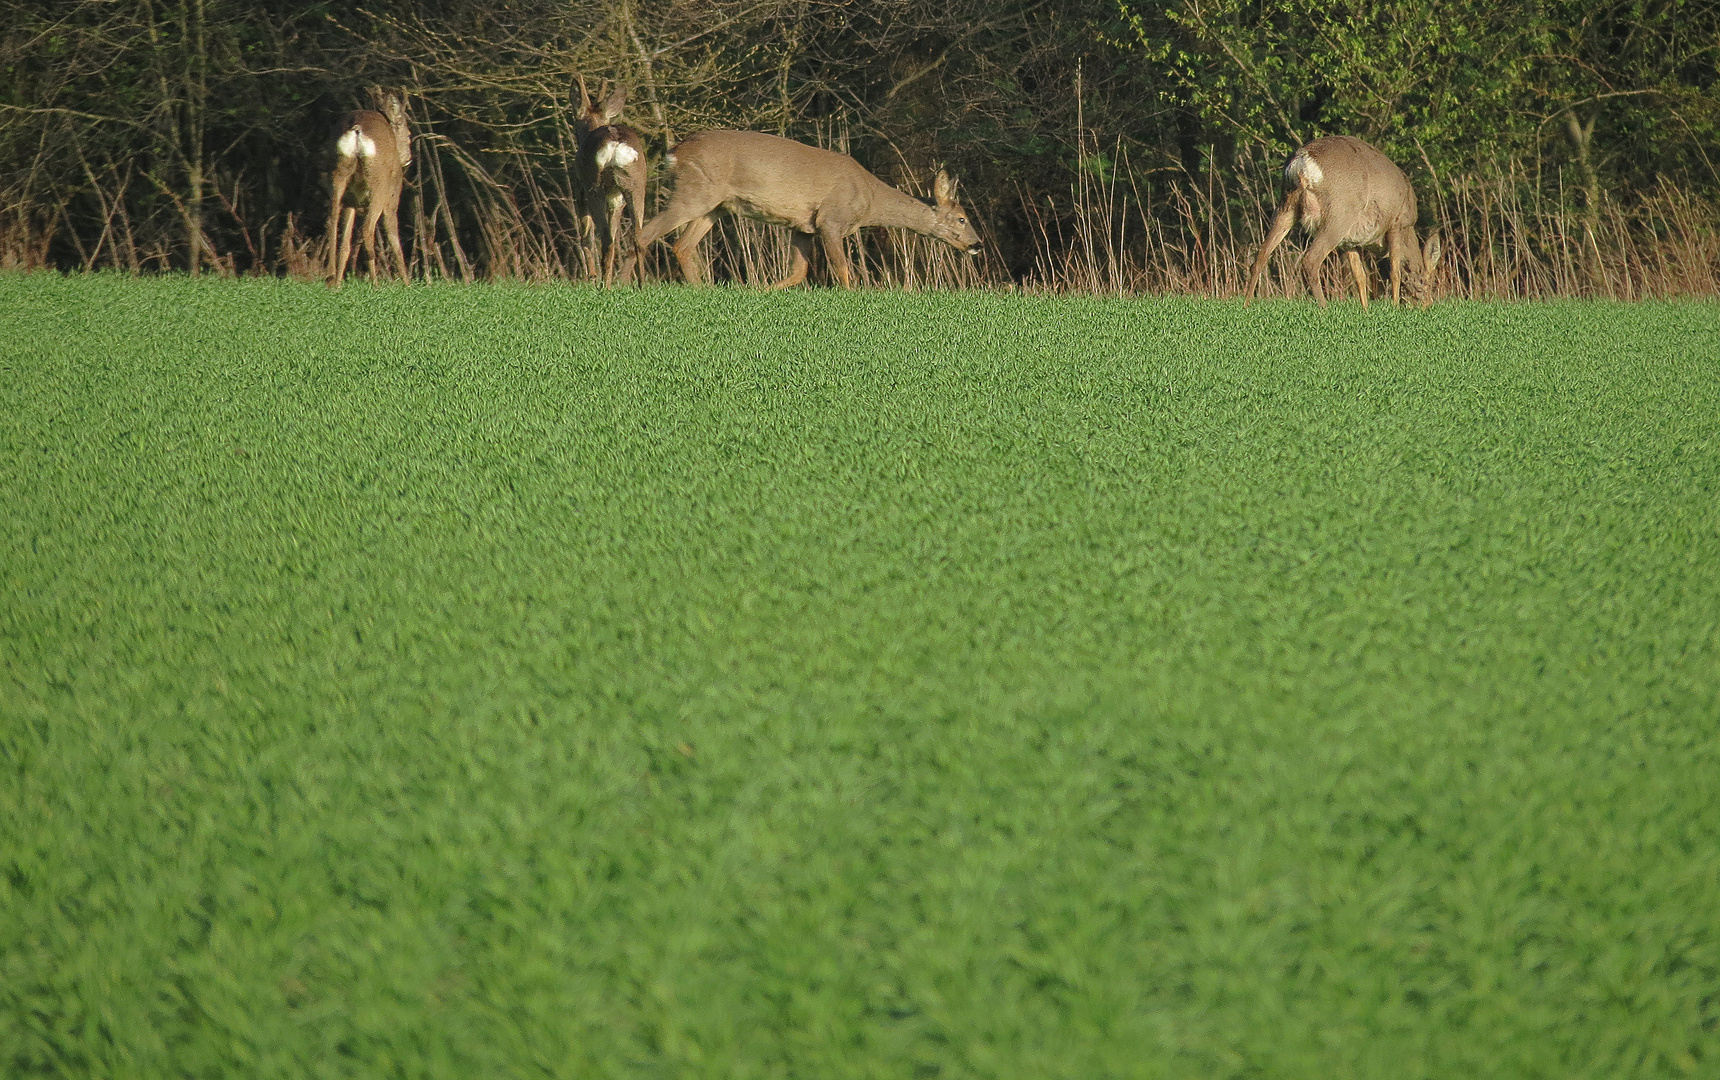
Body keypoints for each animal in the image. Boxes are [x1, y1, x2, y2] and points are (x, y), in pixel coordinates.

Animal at [325, 86, 412, 287]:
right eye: (409, 135)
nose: (409, 157)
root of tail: (357, 130)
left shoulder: (351, 201)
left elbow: (345, 244)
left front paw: (339, 282)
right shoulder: (393, 197)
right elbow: (394, 239)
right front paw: (407, 283)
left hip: (339, 173)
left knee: (332, 222)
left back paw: (332, 279)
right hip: (379, 184)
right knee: (367, 229)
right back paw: (375, 282)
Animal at [571, 78, 646, 287]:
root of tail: (615, 143)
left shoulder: (579, 189)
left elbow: (586, 236)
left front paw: (591, 278)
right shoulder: (615, 196)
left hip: (594, 186)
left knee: (605, 239)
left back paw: (603, 285)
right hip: (636, 185)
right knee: (638, 237)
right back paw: (641, 285)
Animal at [636, 129, 983, 288]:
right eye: (961, 218)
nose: (977, 244)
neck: (869, 200)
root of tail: (676, 152)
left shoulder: (803, 226)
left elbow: (797, 273)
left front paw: (759, 291)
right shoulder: (831, 220)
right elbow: (842, 270)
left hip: (716, 206)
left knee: (681, 245)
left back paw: (702, 288)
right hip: (695, 191)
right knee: (644, 234)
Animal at [1252, 135, 1437, 307]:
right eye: (1427, 282)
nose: (1427, 305)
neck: (1409, 231)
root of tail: (1303, 160)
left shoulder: (1349, 242)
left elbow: (1360, 277)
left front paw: (1365, 310)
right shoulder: (1396, 223)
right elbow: (1395, 271)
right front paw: (1395, 306)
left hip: (1287, 203)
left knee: (1262, 254)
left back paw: (1248, 304)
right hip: (1338, 214)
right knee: (1310, 260)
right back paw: (1324, 307)